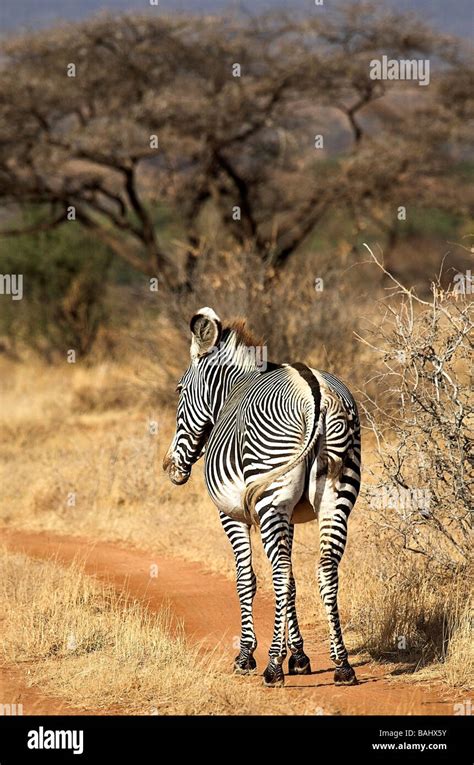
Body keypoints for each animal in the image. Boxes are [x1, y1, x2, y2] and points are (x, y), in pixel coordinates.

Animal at [165, 308, 362, 688]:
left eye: (180, 390)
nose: (170, 467)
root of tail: (316, 393)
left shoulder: (232, 515)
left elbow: (247, 578)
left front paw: (247, 655)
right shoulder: (291, 514)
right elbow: (294, 582)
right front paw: (298, 656)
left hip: (269, 496)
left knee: (281, 573)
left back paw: (272, 668)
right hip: (335, 496)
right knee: (325, 570)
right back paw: (342, 664)